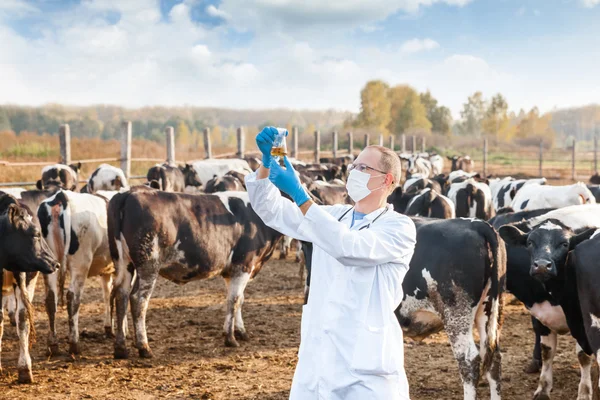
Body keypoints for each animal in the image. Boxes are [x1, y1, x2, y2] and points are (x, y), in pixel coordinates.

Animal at [38, 191, 117, 356]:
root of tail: (61, 196)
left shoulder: (106, 271)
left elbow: (107, 295)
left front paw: (109, 328)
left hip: (49, 262)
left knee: (50, 299)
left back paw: (53, 345)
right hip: (80, 263)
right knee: (73, 298)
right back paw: (74, 344)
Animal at [108, 187, 284, 356]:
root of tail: (129, 193)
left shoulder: (232, 271)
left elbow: (239, 299)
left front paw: (240, 332)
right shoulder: (243, 265)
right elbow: (233, 301)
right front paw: (230, 338)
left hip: (123, 263)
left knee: (121, 295)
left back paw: (121, 348)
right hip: (148, 263)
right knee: (138, 299)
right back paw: (144, 347)